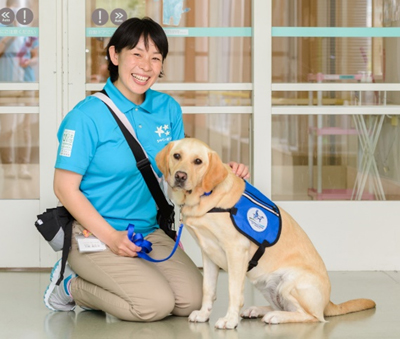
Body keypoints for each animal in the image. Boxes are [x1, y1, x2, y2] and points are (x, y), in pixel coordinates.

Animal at [155, 137, 376, 330]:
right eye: (176, 156)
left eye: (198, 161)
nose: (180, 176)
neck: (205, 199)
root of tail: (328, 302)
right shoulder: (208, 254)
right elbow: (208, 289)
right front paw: (203, 314)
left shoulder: (236, 251)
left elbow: (234, 291)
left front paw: (230, 320)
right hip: (266, 283)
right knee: (286, 307)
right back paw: (259, 310)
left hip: (290, 282)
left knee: (312, 316)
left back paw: (276, 316)